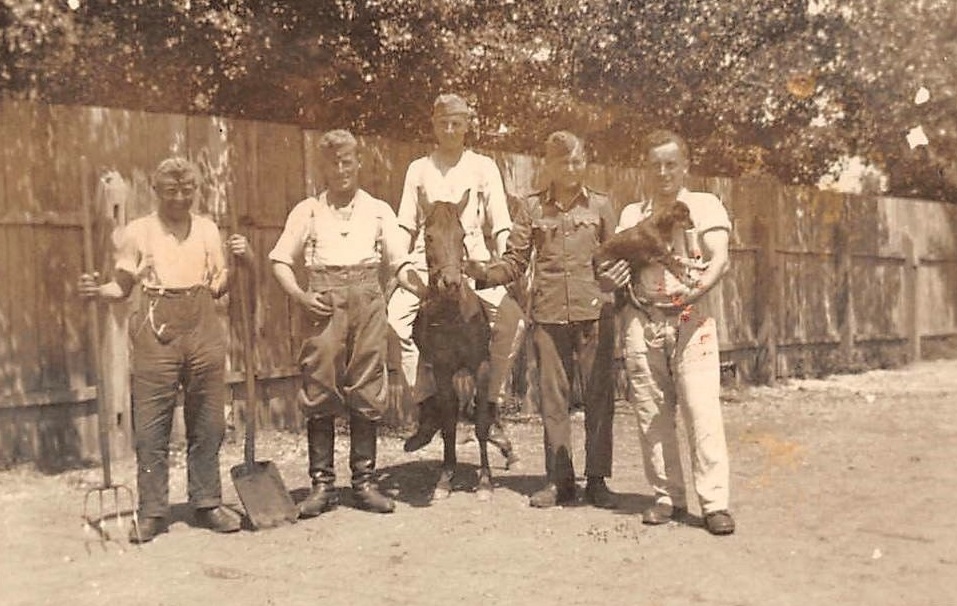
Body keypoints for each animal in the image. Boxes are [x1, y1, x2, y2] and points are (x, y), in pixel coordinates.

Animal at [411, 188, 497, 501]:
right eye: (428, 237)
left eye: (461, 235)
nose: (451, 282)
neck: (452, 317)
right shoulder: (442, 370)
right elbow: (449, 424)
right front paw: (445, 479)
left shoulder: (481, 366)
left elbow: (481, 423)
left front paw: (485, 482)